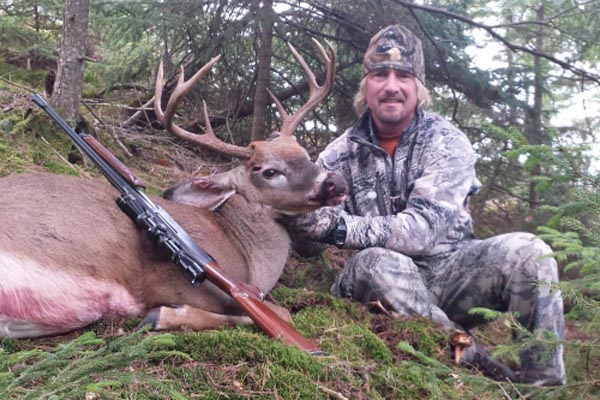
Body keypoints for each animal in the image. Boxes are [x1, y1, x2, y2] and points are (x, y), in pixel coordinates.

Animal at [0, 39, 347, 339]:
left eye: (303, 152)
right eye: (269, 171)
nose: (337, 182)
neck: (247, 251)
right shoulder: (173, 283)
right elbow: (281, 314)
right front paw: (163, 316)